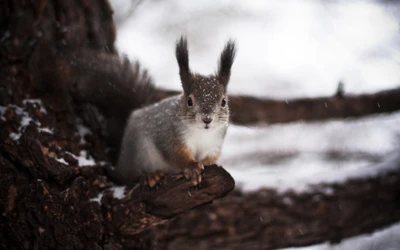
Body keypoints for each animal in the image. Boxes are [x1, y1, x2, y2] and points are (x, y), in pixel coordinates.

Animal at [112, 36, 236, 186]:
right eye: (189, 101)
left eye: (223, 101)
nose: (207, 119)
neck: (201, 133)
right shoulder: (171, 136)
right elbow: (176, 154)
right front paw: (192, 167)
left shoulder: (214, 144)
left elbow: (210, 157)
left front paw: (208, 164)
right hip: (138, 151)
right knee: (131, 177)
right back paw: (150, 175)